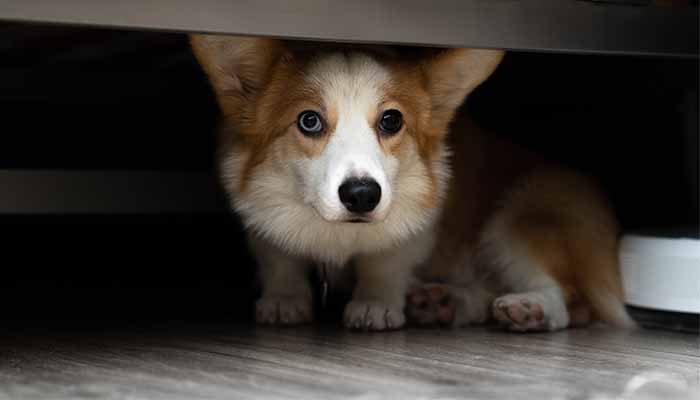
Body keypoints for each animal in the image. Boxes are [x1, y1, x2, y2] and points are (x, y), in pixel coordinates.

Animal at [190, 35, 636, 332]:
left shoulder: (416, 219)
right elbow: (279, 257)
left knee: (569, 298)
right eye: (309, 120)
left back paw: (531, 309)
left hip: (518, 218)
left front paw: (374, 303)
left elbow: (385, 260)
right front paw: (284, 299)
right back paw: (444, 303)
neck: (338, 236)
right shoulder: (260, 213)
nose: (362, 195)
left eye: (391, 120)